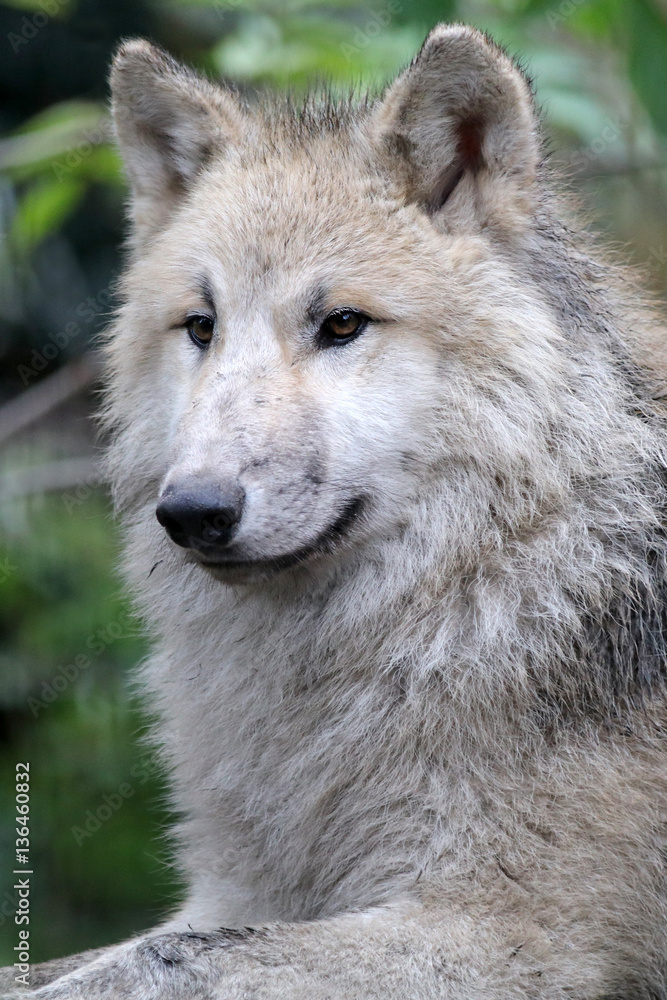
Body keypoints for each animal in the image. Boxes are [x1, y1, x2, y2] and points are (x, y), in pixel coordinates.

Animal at [3, 22, 667, 1000]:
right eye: (201, 327)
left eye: (342, 325)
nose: (192, 510)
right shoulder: (235, 891)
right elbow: (100, 957)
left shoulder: (508, 936)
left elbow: (166, 962)